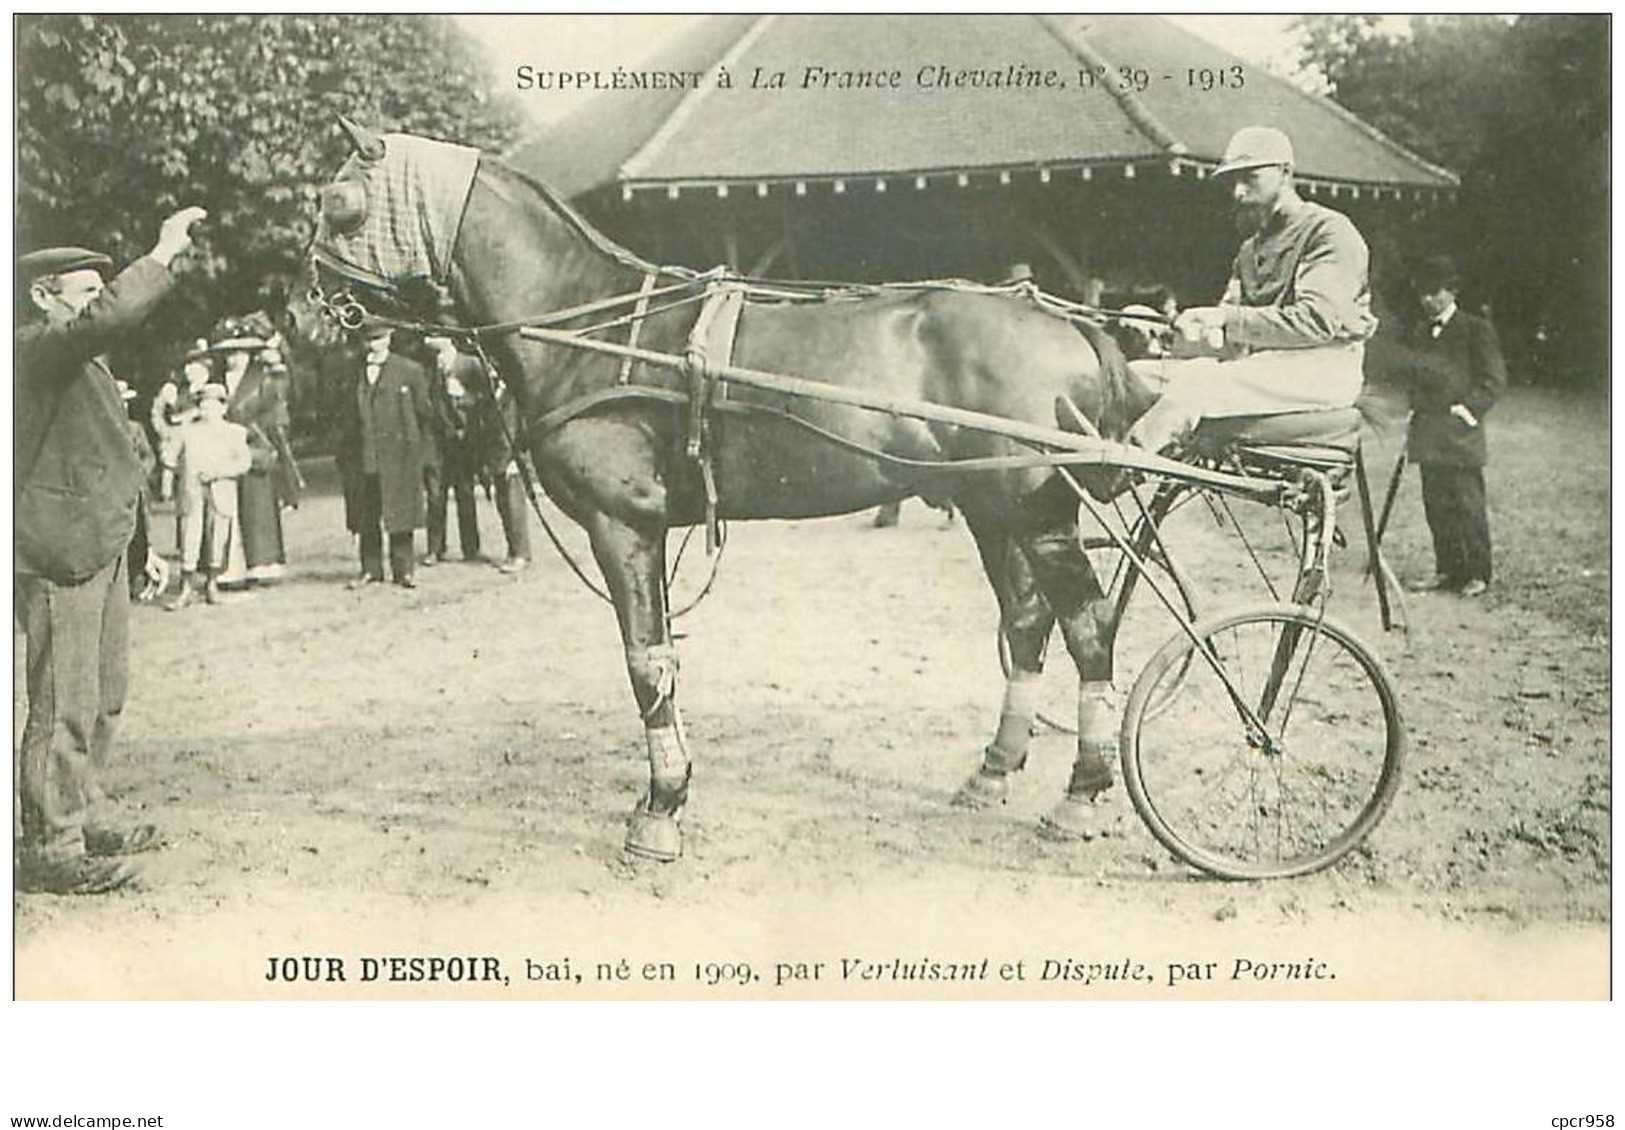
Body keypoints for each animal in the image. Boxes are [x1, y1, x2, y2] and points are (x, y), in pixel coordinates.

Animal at [292, 119, 1157, 864]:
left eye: (338, 203)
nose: (301, 319)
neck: (591, 331)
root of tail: (1071, 323)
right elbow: (661, 658)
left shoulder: (623, 522)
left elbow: (646, 662)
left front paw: (660, 808)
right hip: (989, 508)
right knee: (1026, 620)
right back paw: (993, 769)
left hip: (1036, 510)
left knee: (1086, 628)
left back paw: (1081, 793)